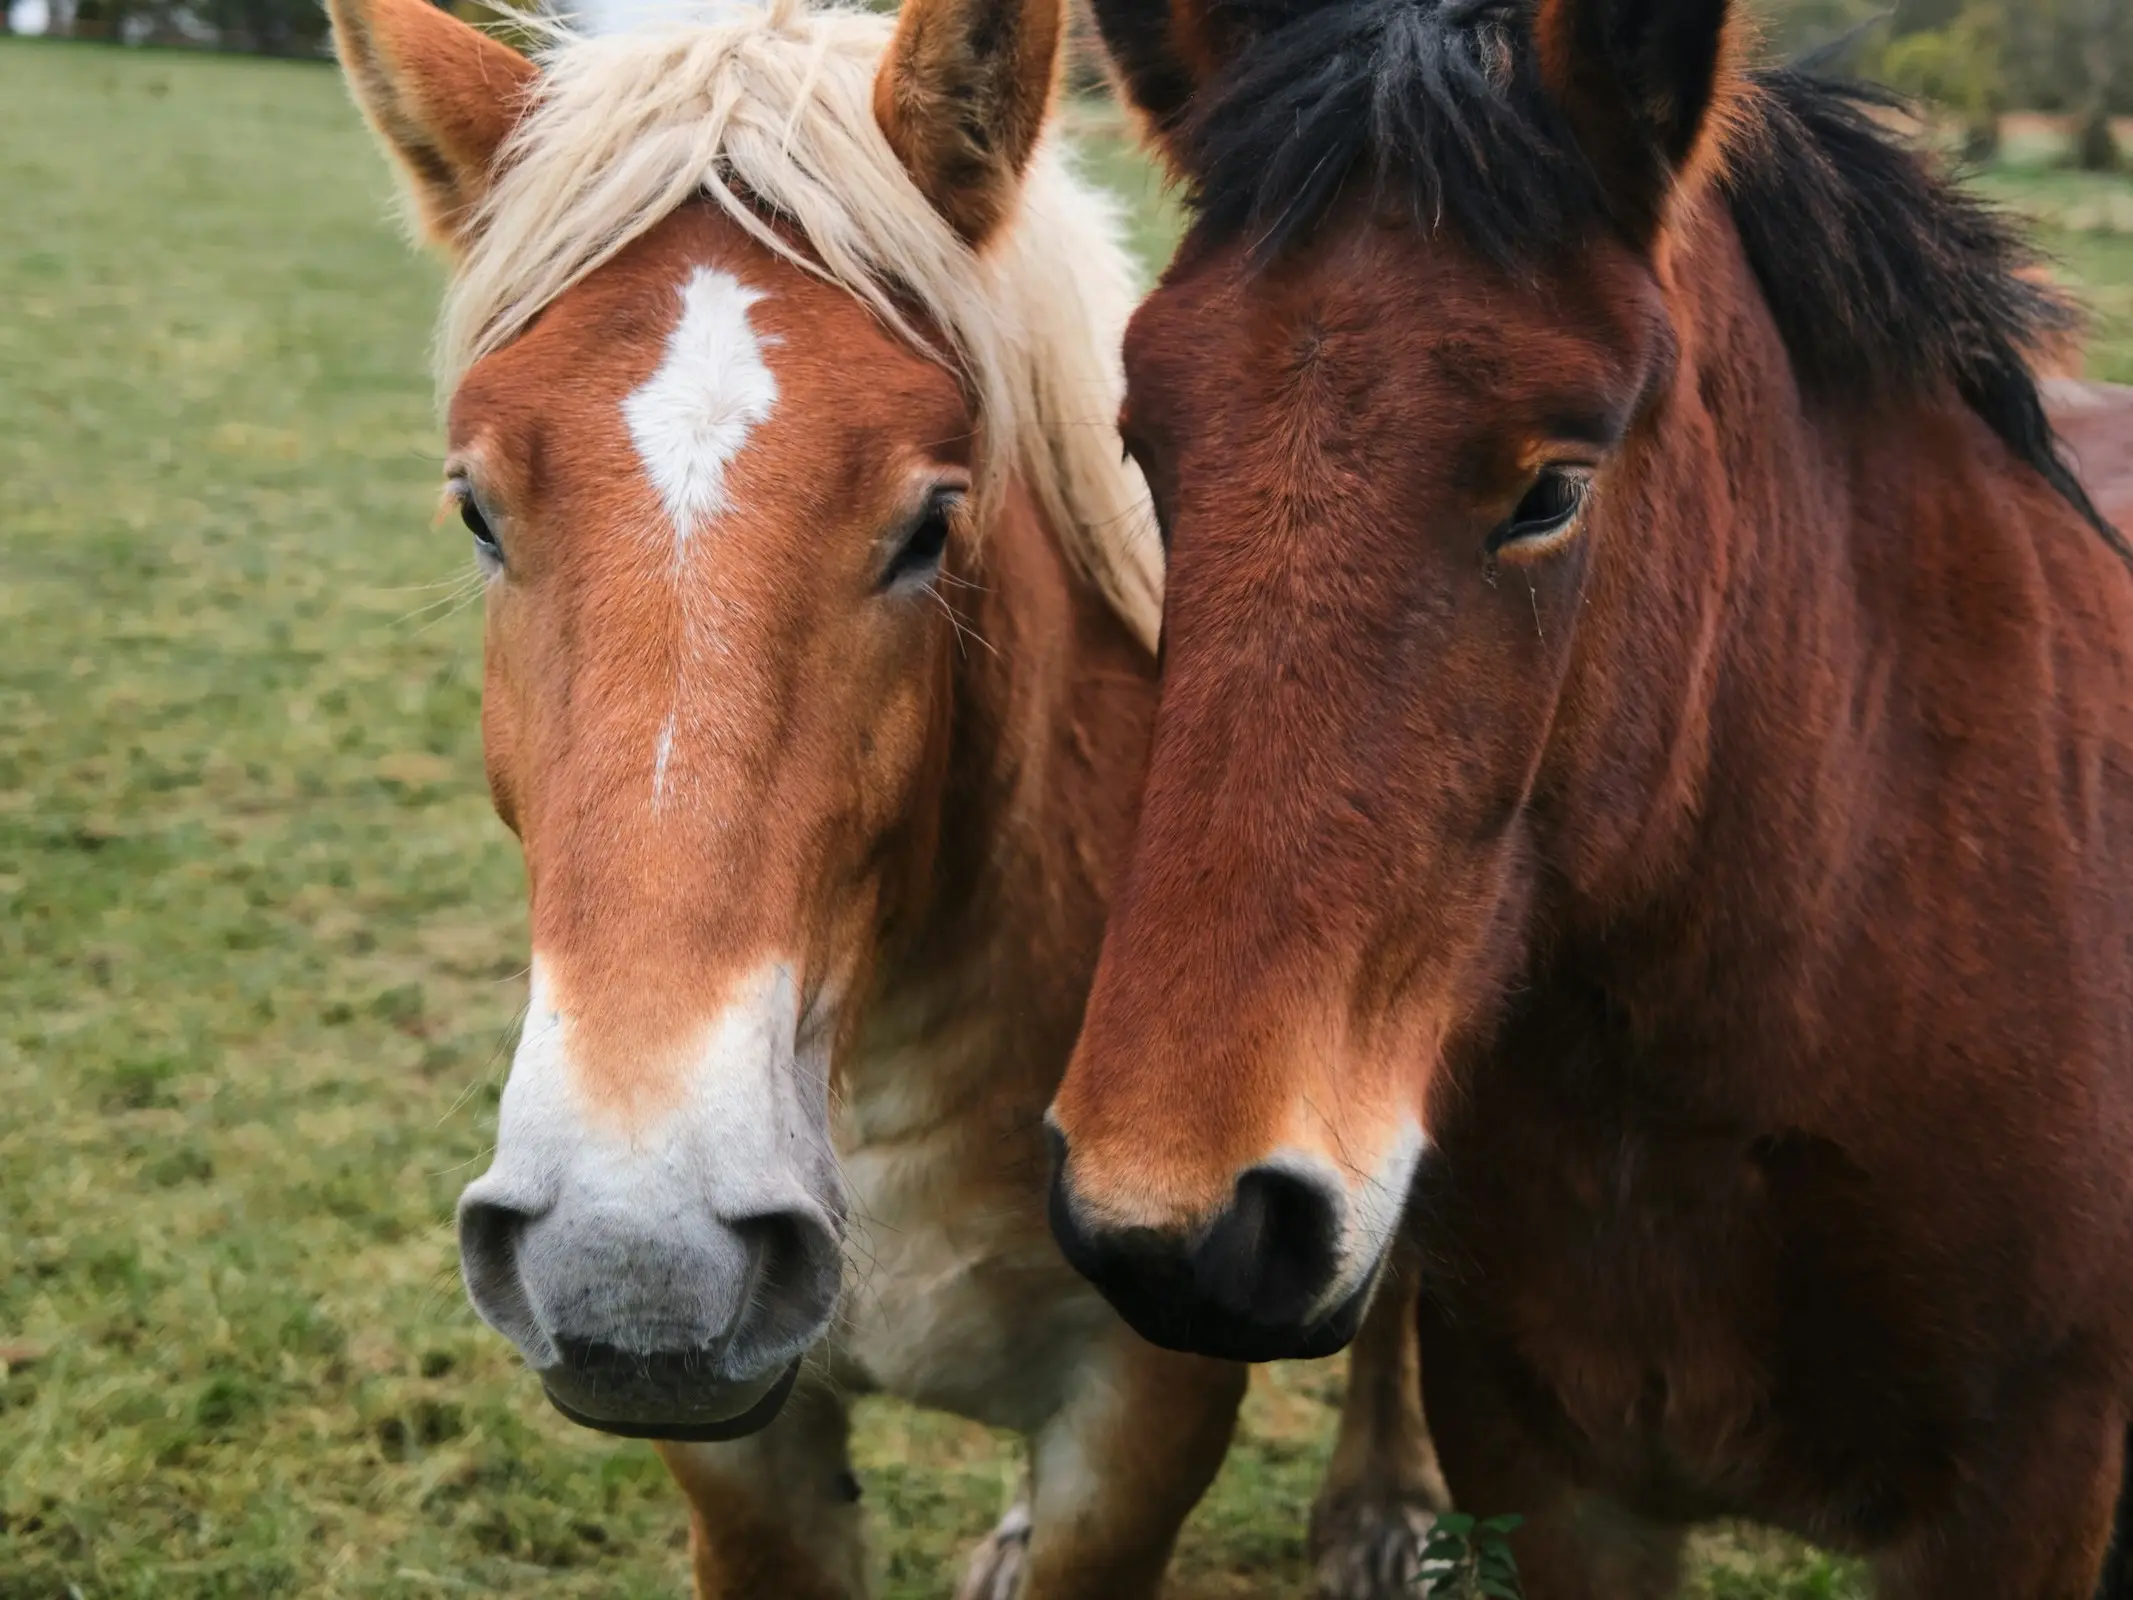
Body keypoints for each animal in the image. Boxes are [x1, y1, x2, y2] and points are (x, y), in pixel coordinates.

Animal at [337, 0, 1450, 1595]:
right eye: (478, 509)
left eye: (932, 523)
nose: (634, 1250)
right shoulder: (749, 1460)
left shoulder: (1144, 1424)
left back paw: (1382, 1496)